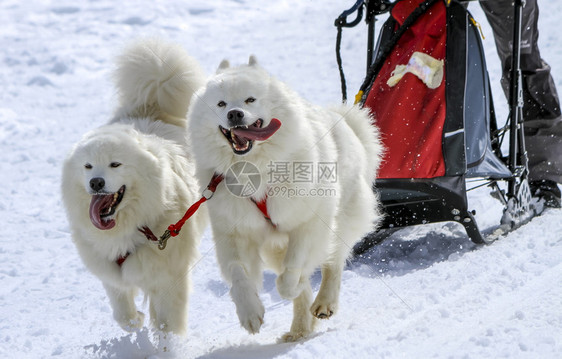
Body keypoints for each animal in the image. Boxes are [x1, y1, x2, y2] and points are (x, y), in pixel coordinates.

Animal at [60, 38, 208, 336]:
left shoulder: (168, 275)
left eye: (115, 164)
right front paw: (135, 320)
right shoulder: (110, 271)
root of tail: (151, 104)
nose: (96, 182)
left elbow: (167, 323)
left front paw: (167, 341)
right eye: (88, 166)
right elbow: (122, 312)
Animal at [186, 57, 382, 344]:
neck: (255, 170)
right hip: (274, 246)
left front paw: (291, 285)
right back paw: (300, 329)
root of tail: (346, 123)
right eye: (221, 104)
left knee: (333, 262)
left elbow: (294, 269)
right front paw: (250, 313)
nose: (234, 114)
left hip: (342, 218)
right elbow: (238, 273)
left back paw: (324, 304)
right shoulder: (234, 232)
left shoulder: (308, 222)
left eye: (250, 100)